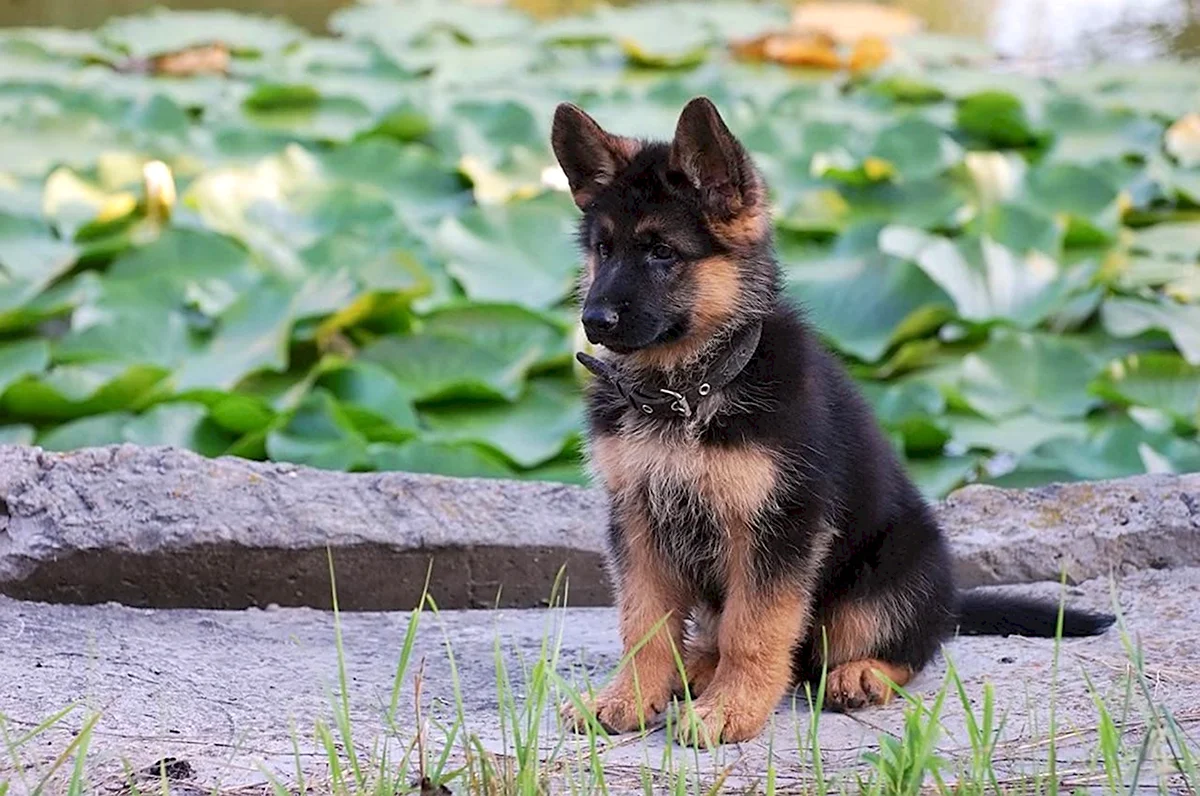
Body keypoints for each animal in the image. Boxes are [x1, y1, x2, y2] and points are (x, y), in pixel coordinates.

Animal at [552, 97, 1113, 749]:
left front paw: (730, 710)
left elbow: (756, 629)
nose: (594, 320)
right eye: (604, 250)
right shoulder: (637, 519)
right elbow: (643, 622)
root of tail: (948, 598)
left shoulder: (779, 526)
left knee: (903, 647)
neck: (687, 388)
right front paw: (628, 697)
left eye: (662, 252)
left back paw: (860, 675)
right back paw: (694, 668)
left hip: (884, 582)